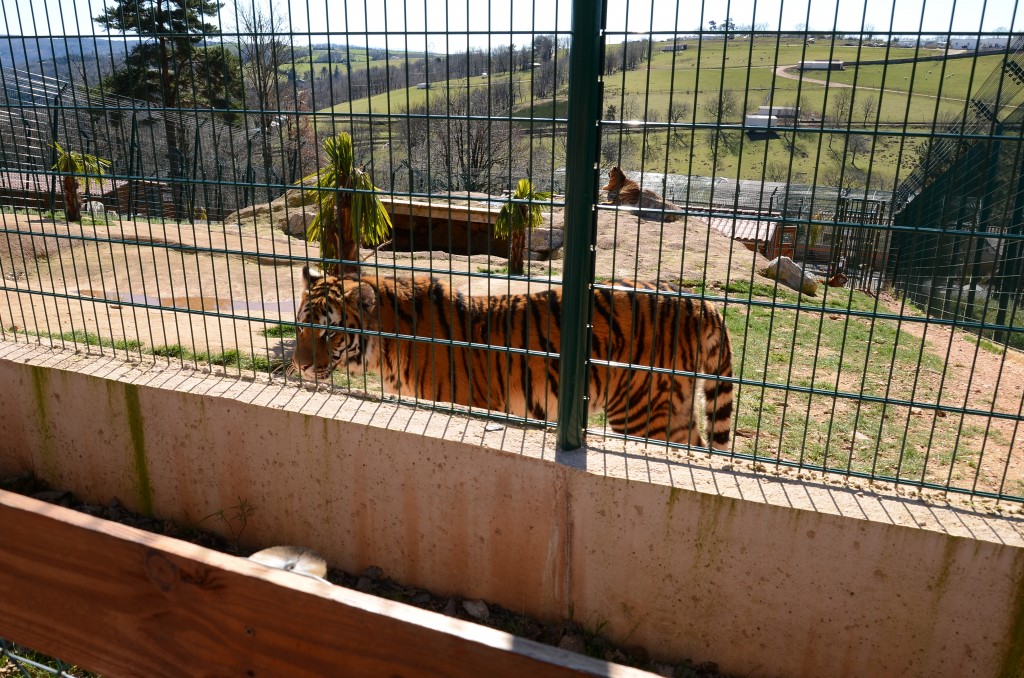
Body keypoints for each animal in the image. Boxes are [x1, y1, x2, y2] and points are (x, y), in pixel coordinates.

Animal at [289, 266, 733, 449]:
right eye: (299, 328)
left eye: (329, 333)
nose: (302, 365)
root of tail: (700, 302)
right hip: (675, 409)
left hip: (641, 410)